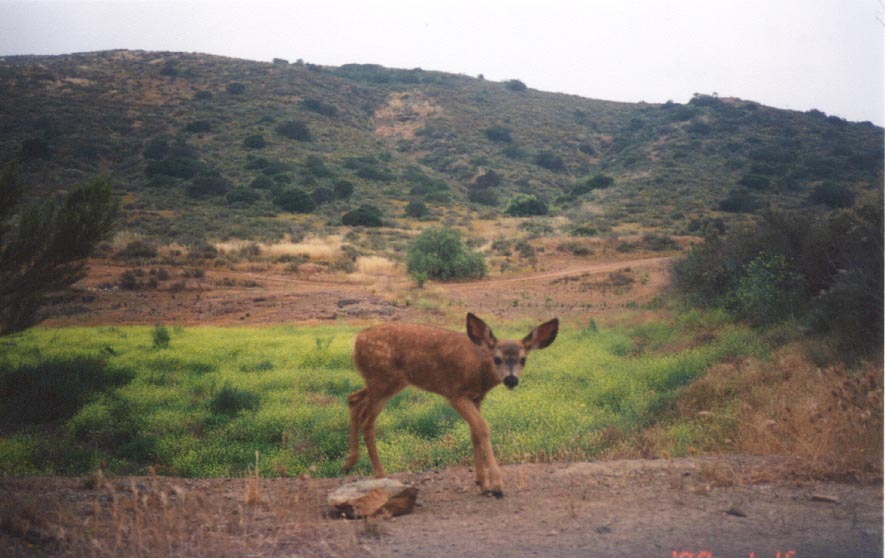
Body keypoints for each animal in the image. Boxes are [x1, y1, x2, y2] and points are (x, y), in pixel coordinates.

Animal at [342, 312, 556, 500]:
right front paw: (496, 486)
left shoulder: (477, 398)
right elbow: (483, 428)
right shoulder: (456, 393)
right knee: (368, 421)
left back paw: (349, 463)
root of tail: (355, 340)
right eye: (497, 359)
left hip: (383, 383)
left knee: (353, 399)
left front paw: (482, 484)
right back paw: (379, 474)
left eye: (523, 360)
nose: (511, 379)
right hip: (383, 381)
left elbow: (474, 433)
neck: (480, 369)